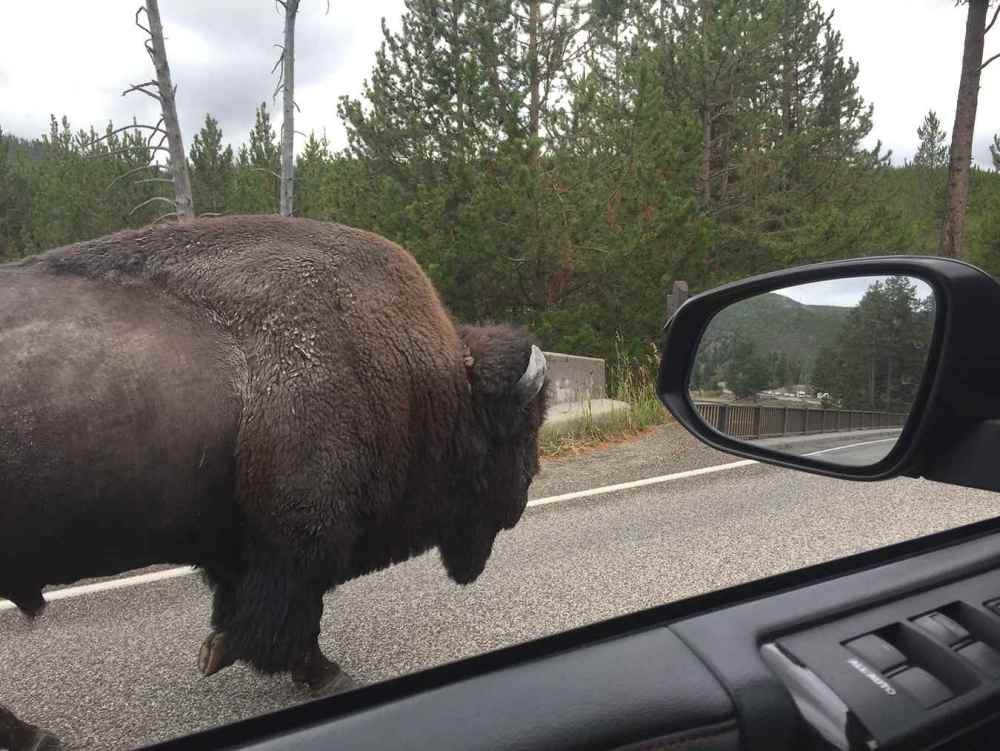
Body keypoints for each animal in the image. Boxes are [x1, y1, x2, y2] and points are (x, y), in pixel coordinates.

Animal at [0, 216, 550, 750]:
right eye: (522, 429)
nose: (521, 499)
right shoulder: (299, 542)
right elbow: (294, 614)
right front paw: (325, 675)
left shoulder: (243, 544)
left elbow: (246, 606)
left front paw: (216, 651)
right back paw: (39, 738)